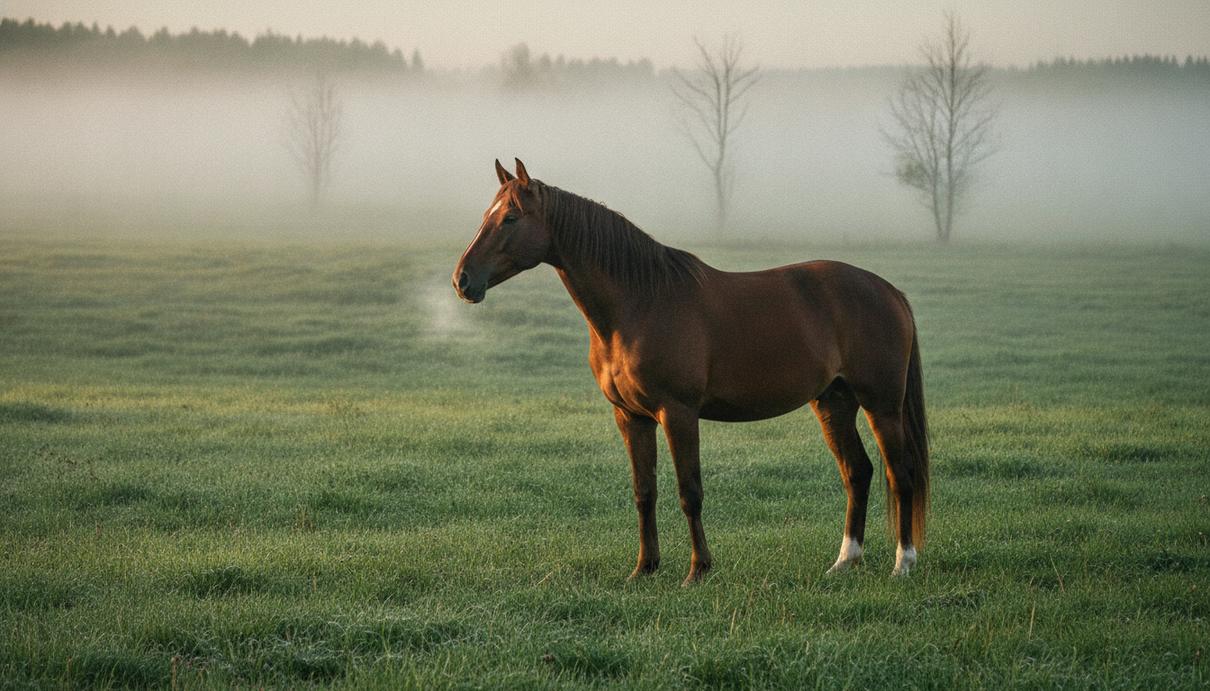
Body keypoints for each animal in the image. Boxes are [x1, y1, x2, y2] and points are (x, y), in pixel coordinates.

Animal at [453, 159, 929, 584]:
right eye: (486, 216)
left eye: (510, 218)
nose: (462, 281)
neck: (640, 303)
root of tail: (890, 291)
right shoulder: (631, 417)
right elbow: (644, 492)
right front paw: (644, 569)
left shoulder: (678, 413)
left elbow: (689, 492)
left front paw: (698, 570)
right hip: (833, 403)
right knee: (858, 472)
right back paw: (845, 562)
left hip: (882, 405)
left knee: (900, 473)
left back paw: (903, 564)